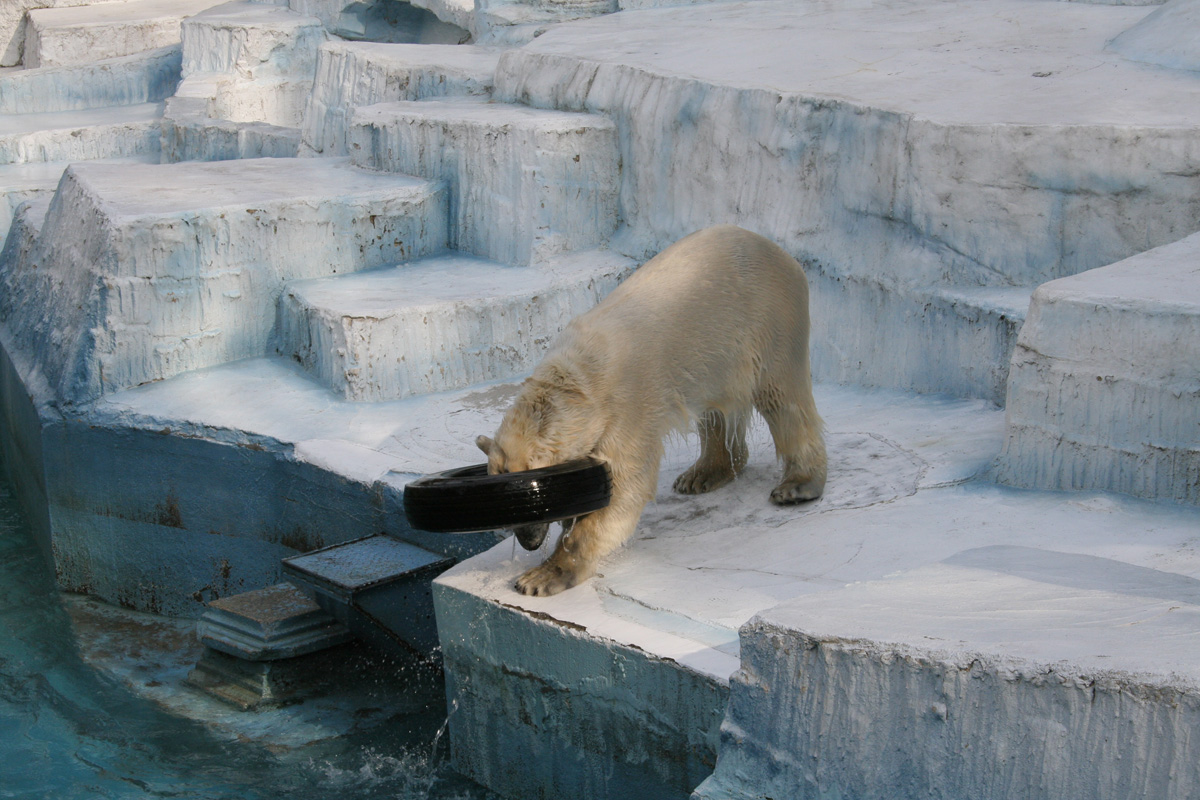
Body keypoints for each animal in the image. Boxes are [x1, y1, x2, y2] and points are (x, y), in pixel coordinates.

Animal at [475, 225, 825, 594]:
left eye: (532, 509)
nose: (528, 543)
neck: (578, 382)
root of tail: (782, 254)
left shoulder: (628, 408)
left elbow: (627, 486)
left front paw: (542, 576)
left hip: (768, 317)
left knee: (782, 397)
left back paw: (798, 485)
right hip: (717, 354)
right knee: (716, 409)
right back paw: (702, 475)